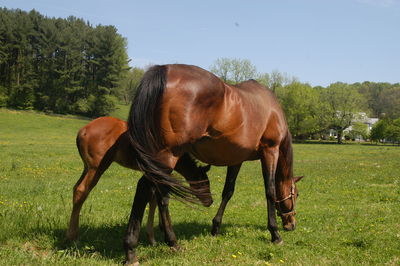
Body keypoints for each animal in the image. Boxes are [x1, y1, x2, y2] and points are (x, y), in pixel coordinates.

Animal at [67, 116, 212, 245]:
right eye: (204, 184)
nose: (209, 201)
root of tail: (83, 131)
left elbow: (153, 199)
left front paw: (155, 233)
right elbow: (155, 199)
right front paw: (153, 237)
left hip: (87, 167)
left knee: (75, 188)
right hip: (97, 167)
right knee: (81, 190)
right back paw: (73, 238)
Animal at [125, 63, 304, 264]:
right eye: (296, 194)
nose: (291, 224)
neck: (271, 109)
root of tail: (164, 69)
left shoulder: (237, 159)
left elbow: (228, 191)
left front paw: (216, 227)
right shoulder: (270, 151)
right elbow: (270, 192)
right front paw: (274, 233)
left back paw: (166, 242)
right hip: (167, 156)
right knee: (146, 189)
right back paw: (134, 249)